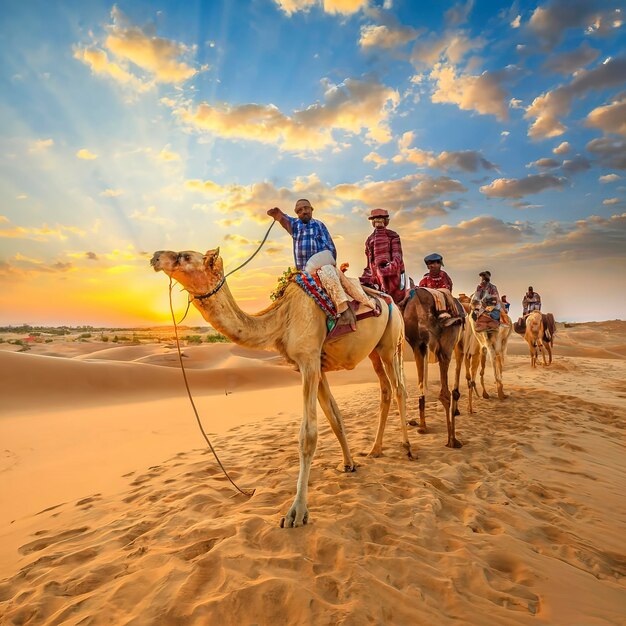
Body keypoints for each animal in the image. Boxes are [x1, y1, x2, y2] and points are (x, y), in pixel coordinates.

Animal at [147, 249, 410, 528]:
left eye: (185, 256)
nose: (155, 257)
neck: (282, 318)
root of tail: (392, 302)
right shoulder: (317, 365)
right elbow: (335, 417)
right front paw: (349, 464)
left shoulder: (308, 361)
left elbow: (308, 435)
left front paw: (296, 513)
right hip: (374, 351)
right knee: (385, 389)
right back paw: (375, 450)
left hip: (390, 343)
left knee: (399, 388)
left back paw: (406, 448)